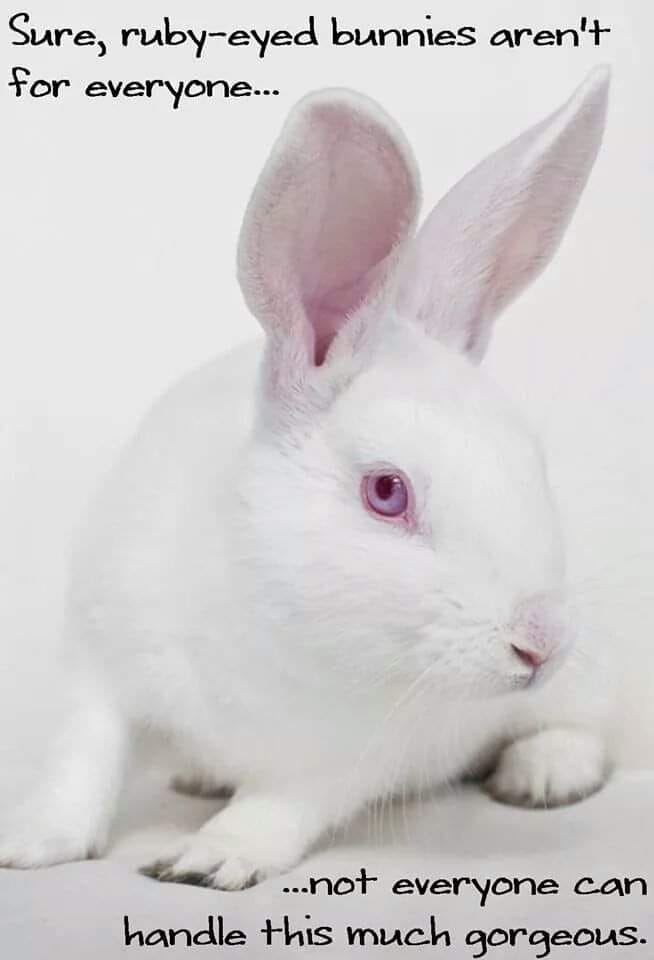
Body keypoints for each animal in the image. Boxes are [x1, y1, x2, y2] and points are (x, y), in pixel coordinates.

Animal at [0, 66, 612, 890]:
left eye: (532, 461)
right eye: (386, 491)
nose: (540, 644)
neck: (268, 608)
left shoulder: (345, 761)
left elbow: (280, 805)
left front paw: (208, 857)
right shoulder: (97, 667)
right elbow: (82, 762)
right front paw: (33, 842)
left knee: (581, 725)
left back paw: (543, 772)